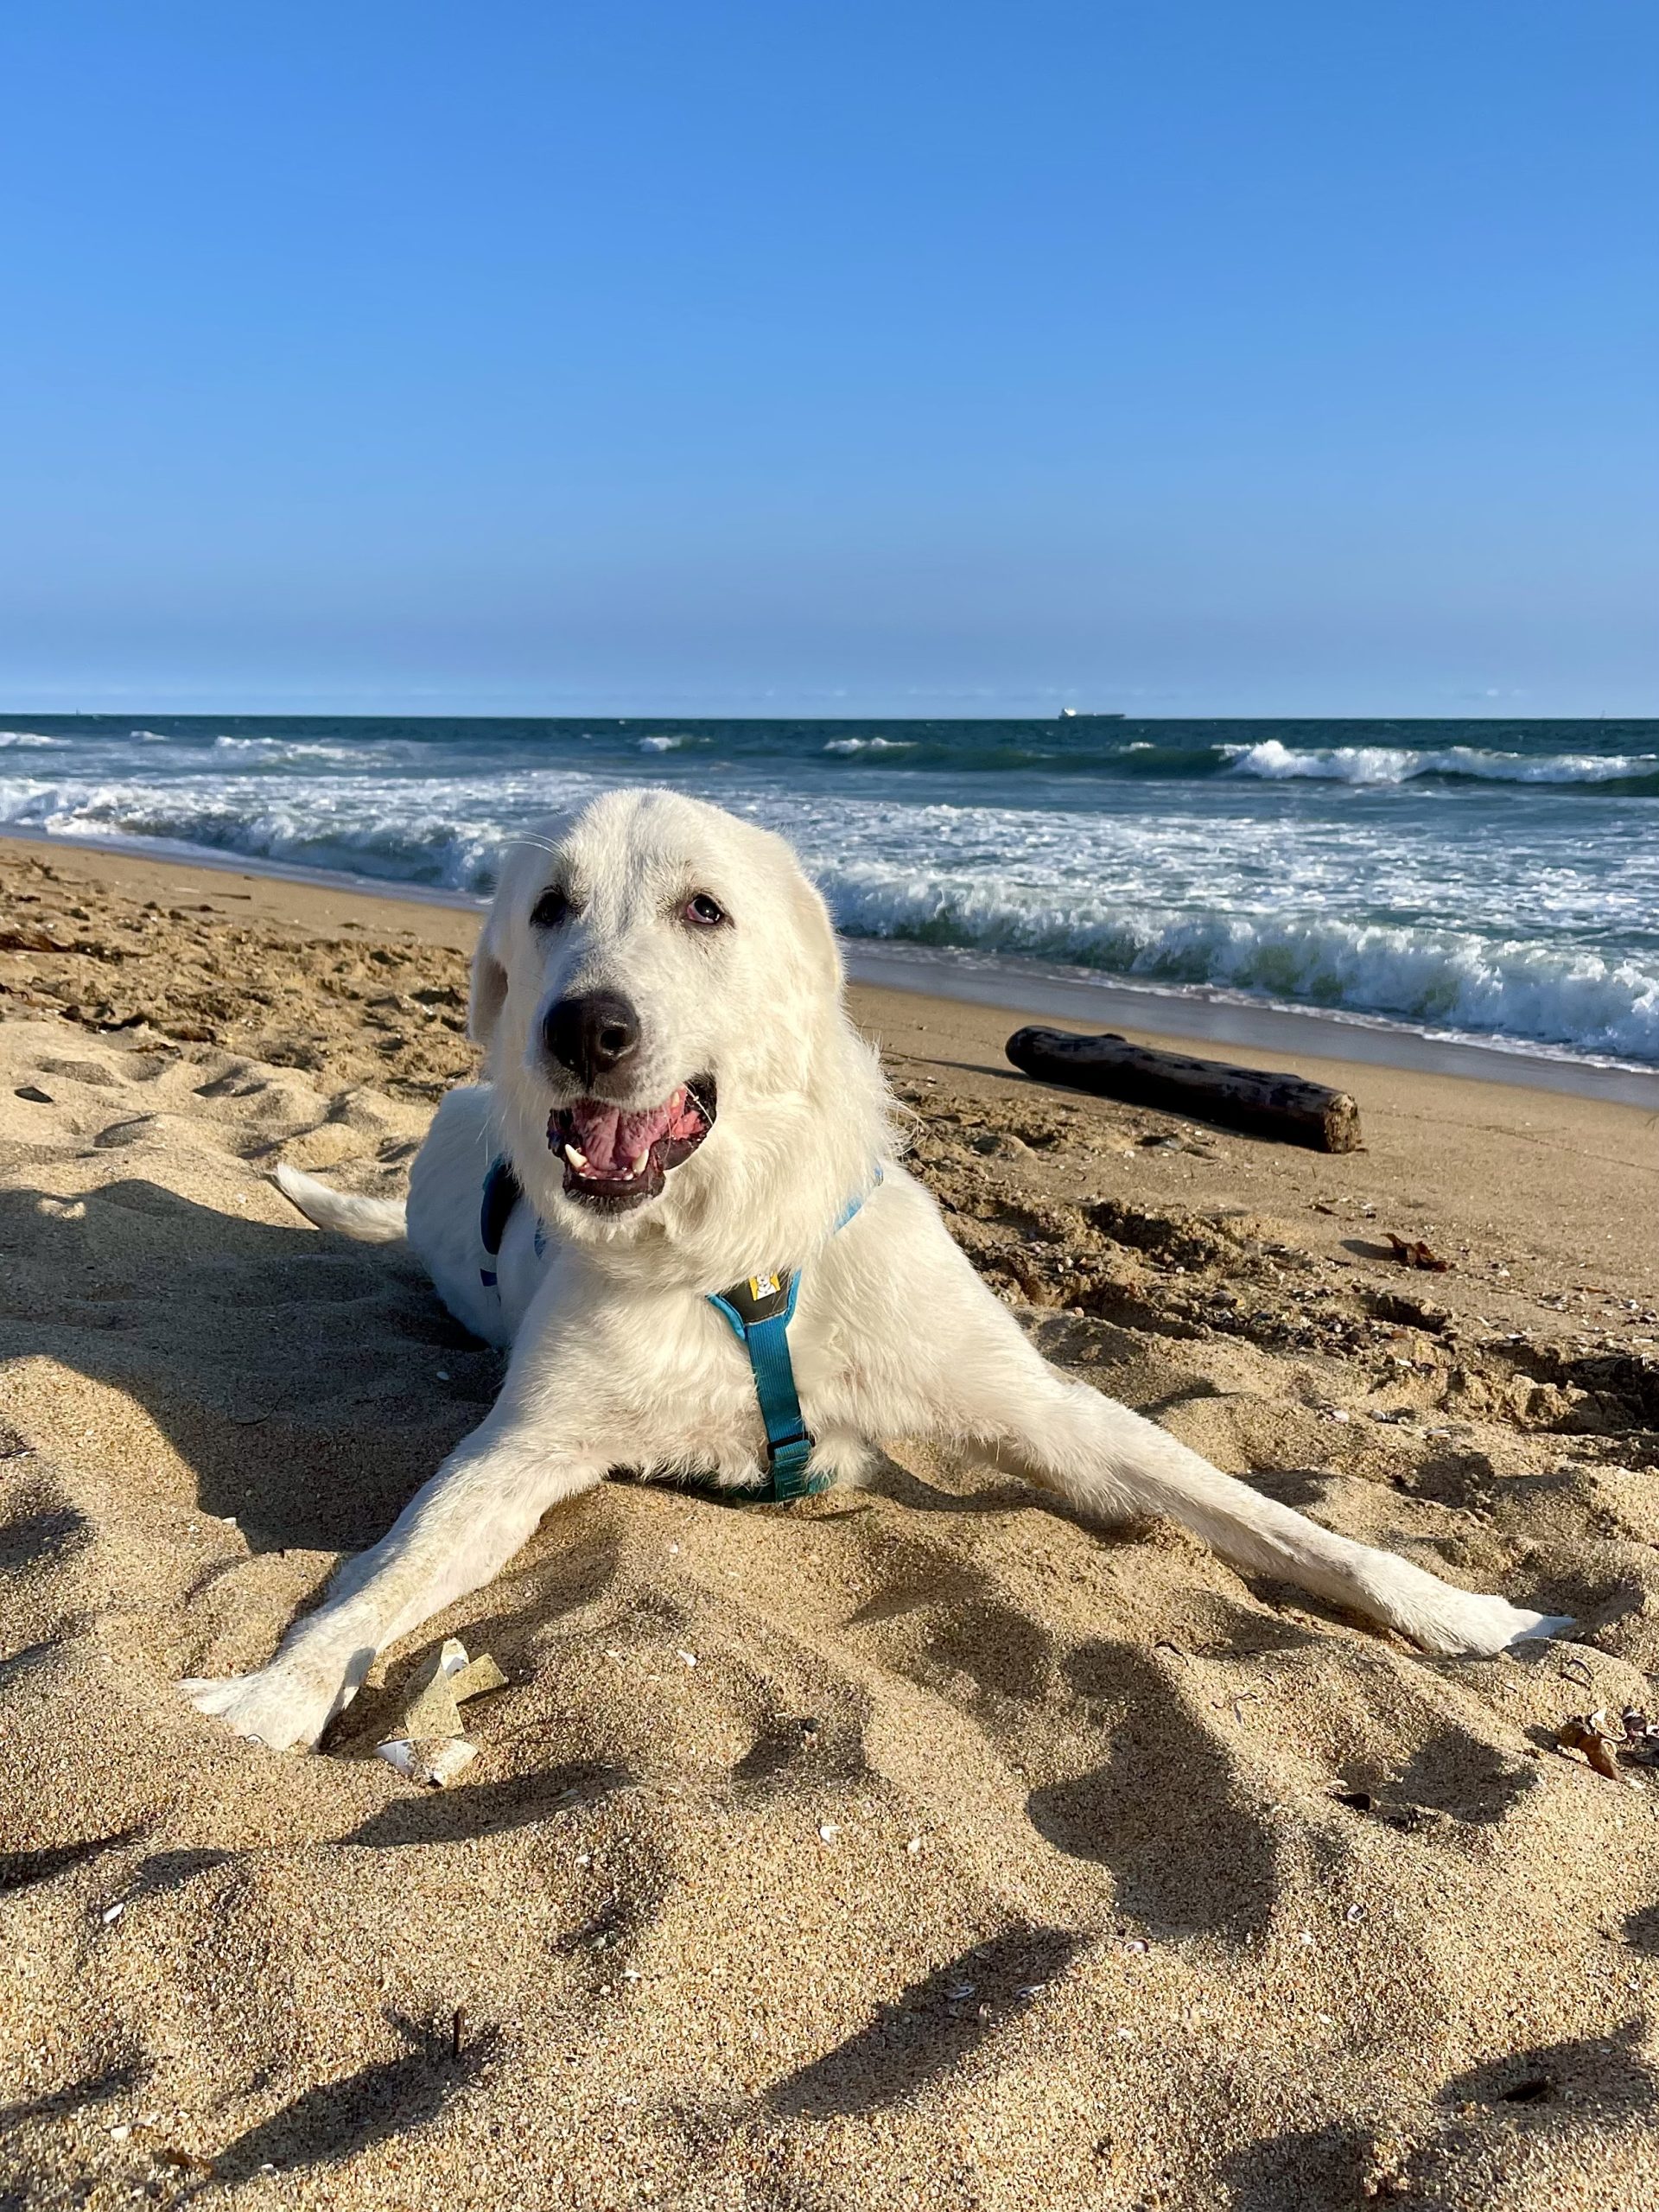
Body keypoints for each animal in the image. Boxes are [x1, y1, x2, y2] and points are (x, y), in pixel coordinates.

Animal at [181, 787, 1574, 1751]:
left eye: (704, 909)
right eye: (548, 908)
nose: (585, 1031)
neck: (743, 1258)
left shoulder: (1049, 1414)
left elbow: (1291, 1525)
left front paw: (1476, 1618)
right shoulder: (517, 1455)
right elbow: (381, 1579)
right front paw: (275, 1692)